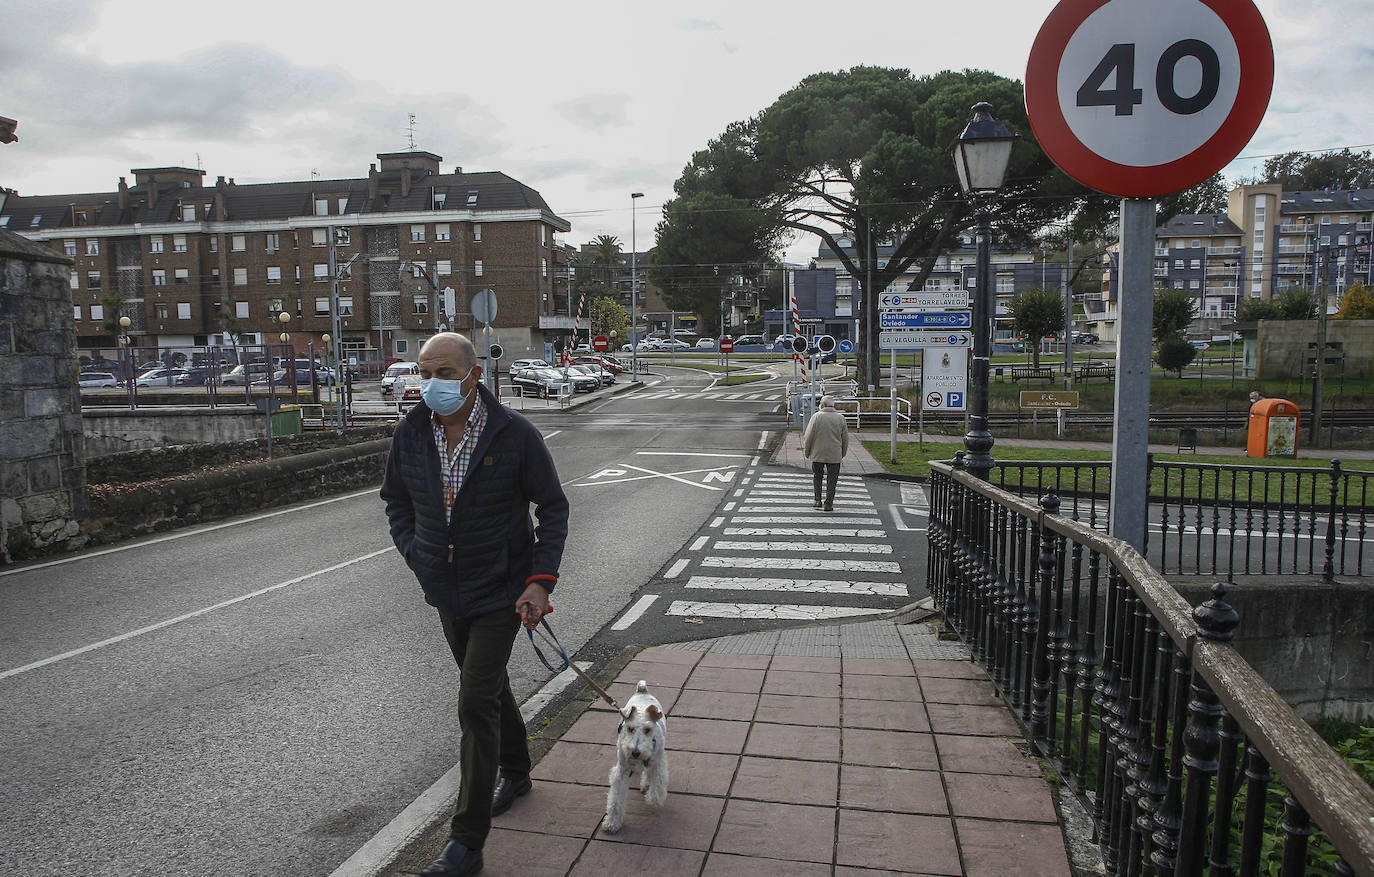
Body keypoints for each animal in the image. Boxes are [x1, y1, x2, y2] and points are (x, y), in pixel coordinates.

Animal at [604, 684, 667, 835]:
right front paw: (612, 823)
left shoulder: (657, 763)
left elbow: (657, 788)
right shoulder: (621, 771)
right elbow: (615, 799)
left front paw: (652, 798)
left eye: (648, 729)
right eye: (630, 728)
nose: (635, 753)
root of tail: (642, 690)